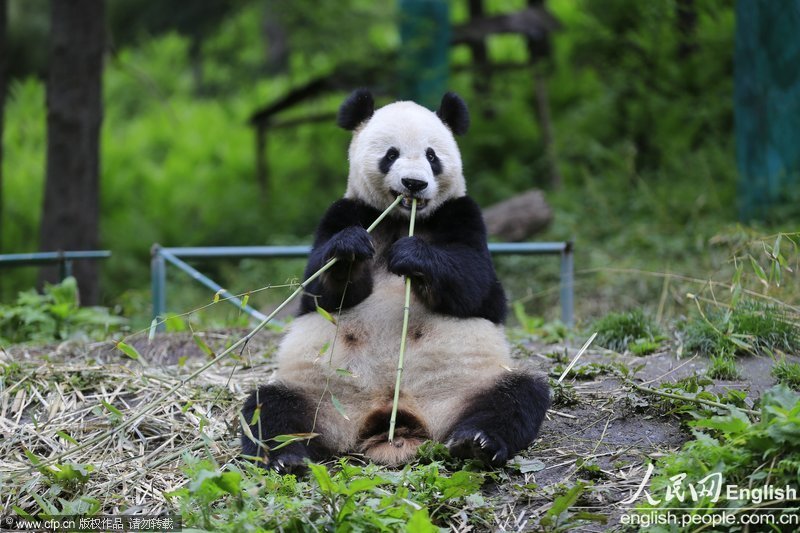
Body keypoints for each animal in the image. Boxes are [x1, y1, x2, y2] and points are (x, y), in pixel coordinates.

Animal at [242, 89, 552, 472]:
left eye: (432, 156)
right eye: (391, 155)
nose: (414, 183)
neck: (402, 219)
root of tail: (391, 419)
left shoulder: (462, 214)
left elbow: (478, 284)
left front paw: (412, 257)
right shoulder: (347, 211)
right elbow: (318, 293)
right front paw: (349, 249)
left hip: (468, 385)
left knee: (517, 395)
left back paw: (476, 443)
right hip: (318, 393)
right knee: (268, 408)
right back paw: (287, 457)